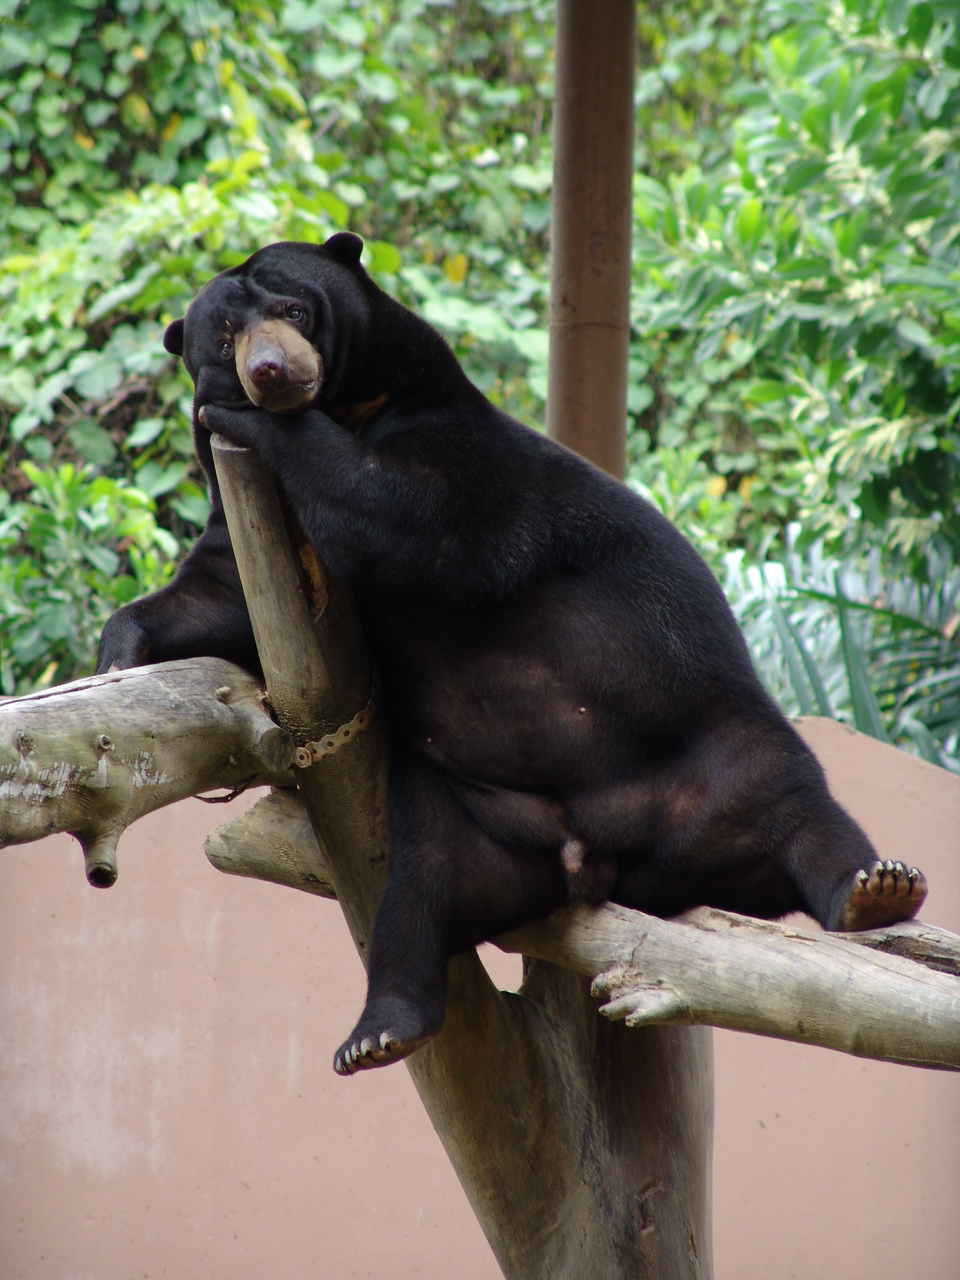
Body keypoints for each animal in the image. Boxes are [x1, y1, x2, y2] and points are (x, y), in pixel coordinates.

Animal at [97, 233, 927, 1074]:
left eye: (295, 310)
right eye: (223, 339)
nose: (269, 372)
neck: (345, 404)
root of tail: (596, 853)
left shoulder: (453, 443)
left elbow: (417, 521)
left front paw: (256, 421)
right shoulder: (243, 514)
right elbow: (218, 596)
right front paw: (118, 657)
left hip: (716, 746)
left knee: (793, 806)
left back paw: (876, 888)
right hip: (466, 811)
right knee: (420, 897)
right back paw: (379, 1030)